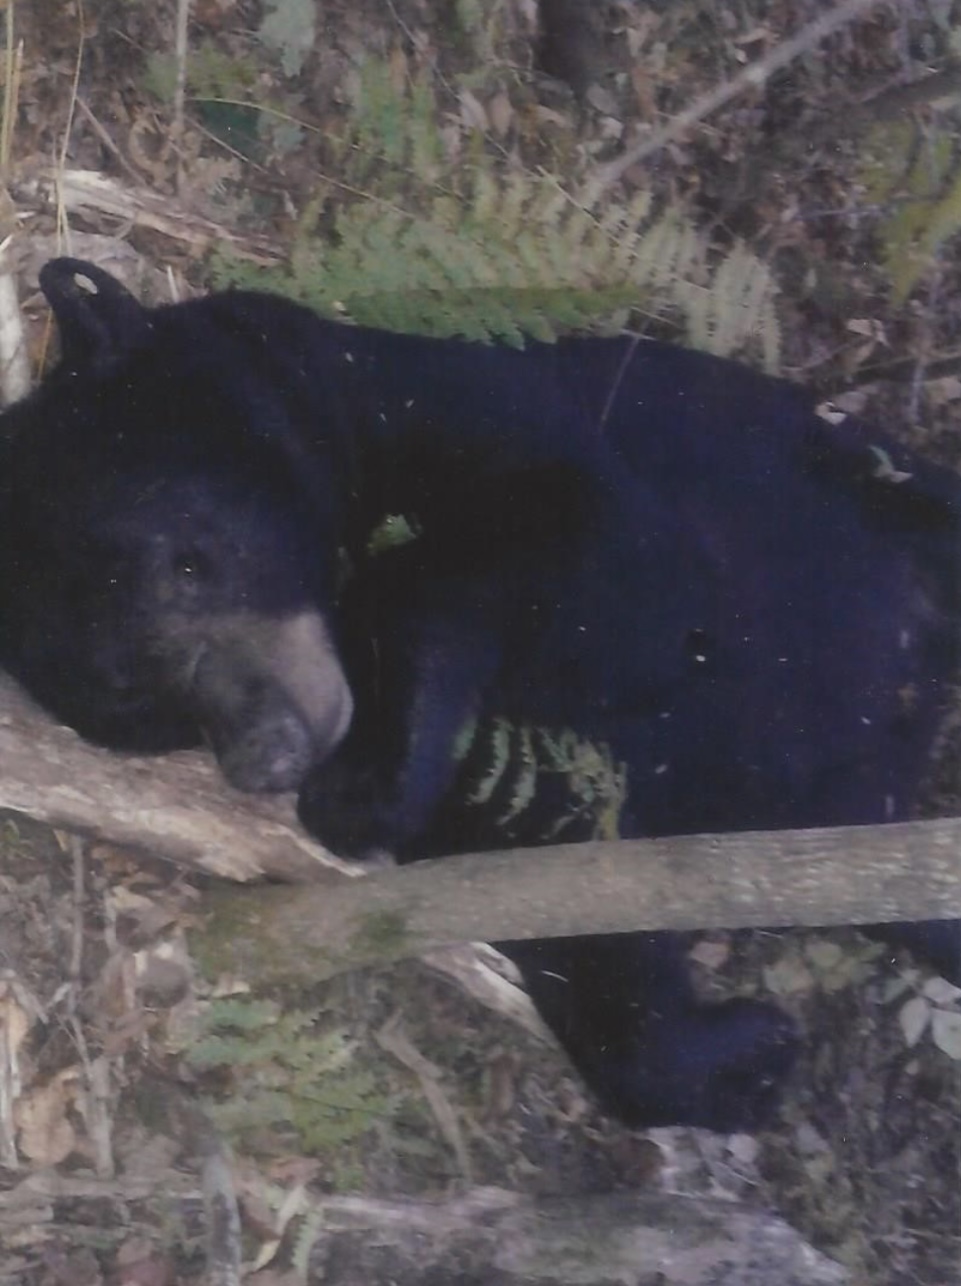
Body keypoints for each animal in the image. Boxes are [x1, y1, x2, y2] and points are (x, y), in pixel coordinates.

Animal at [0, 257, 957, 1131]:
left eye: (189, 562)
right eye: (136, 694)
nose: (267, 751)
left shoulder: (458, 407)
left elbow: (604, 543)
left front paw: (367, 779)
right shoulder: (551, 806)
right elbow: (583, 921)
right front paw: (750, 1053)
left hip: (871, 482)